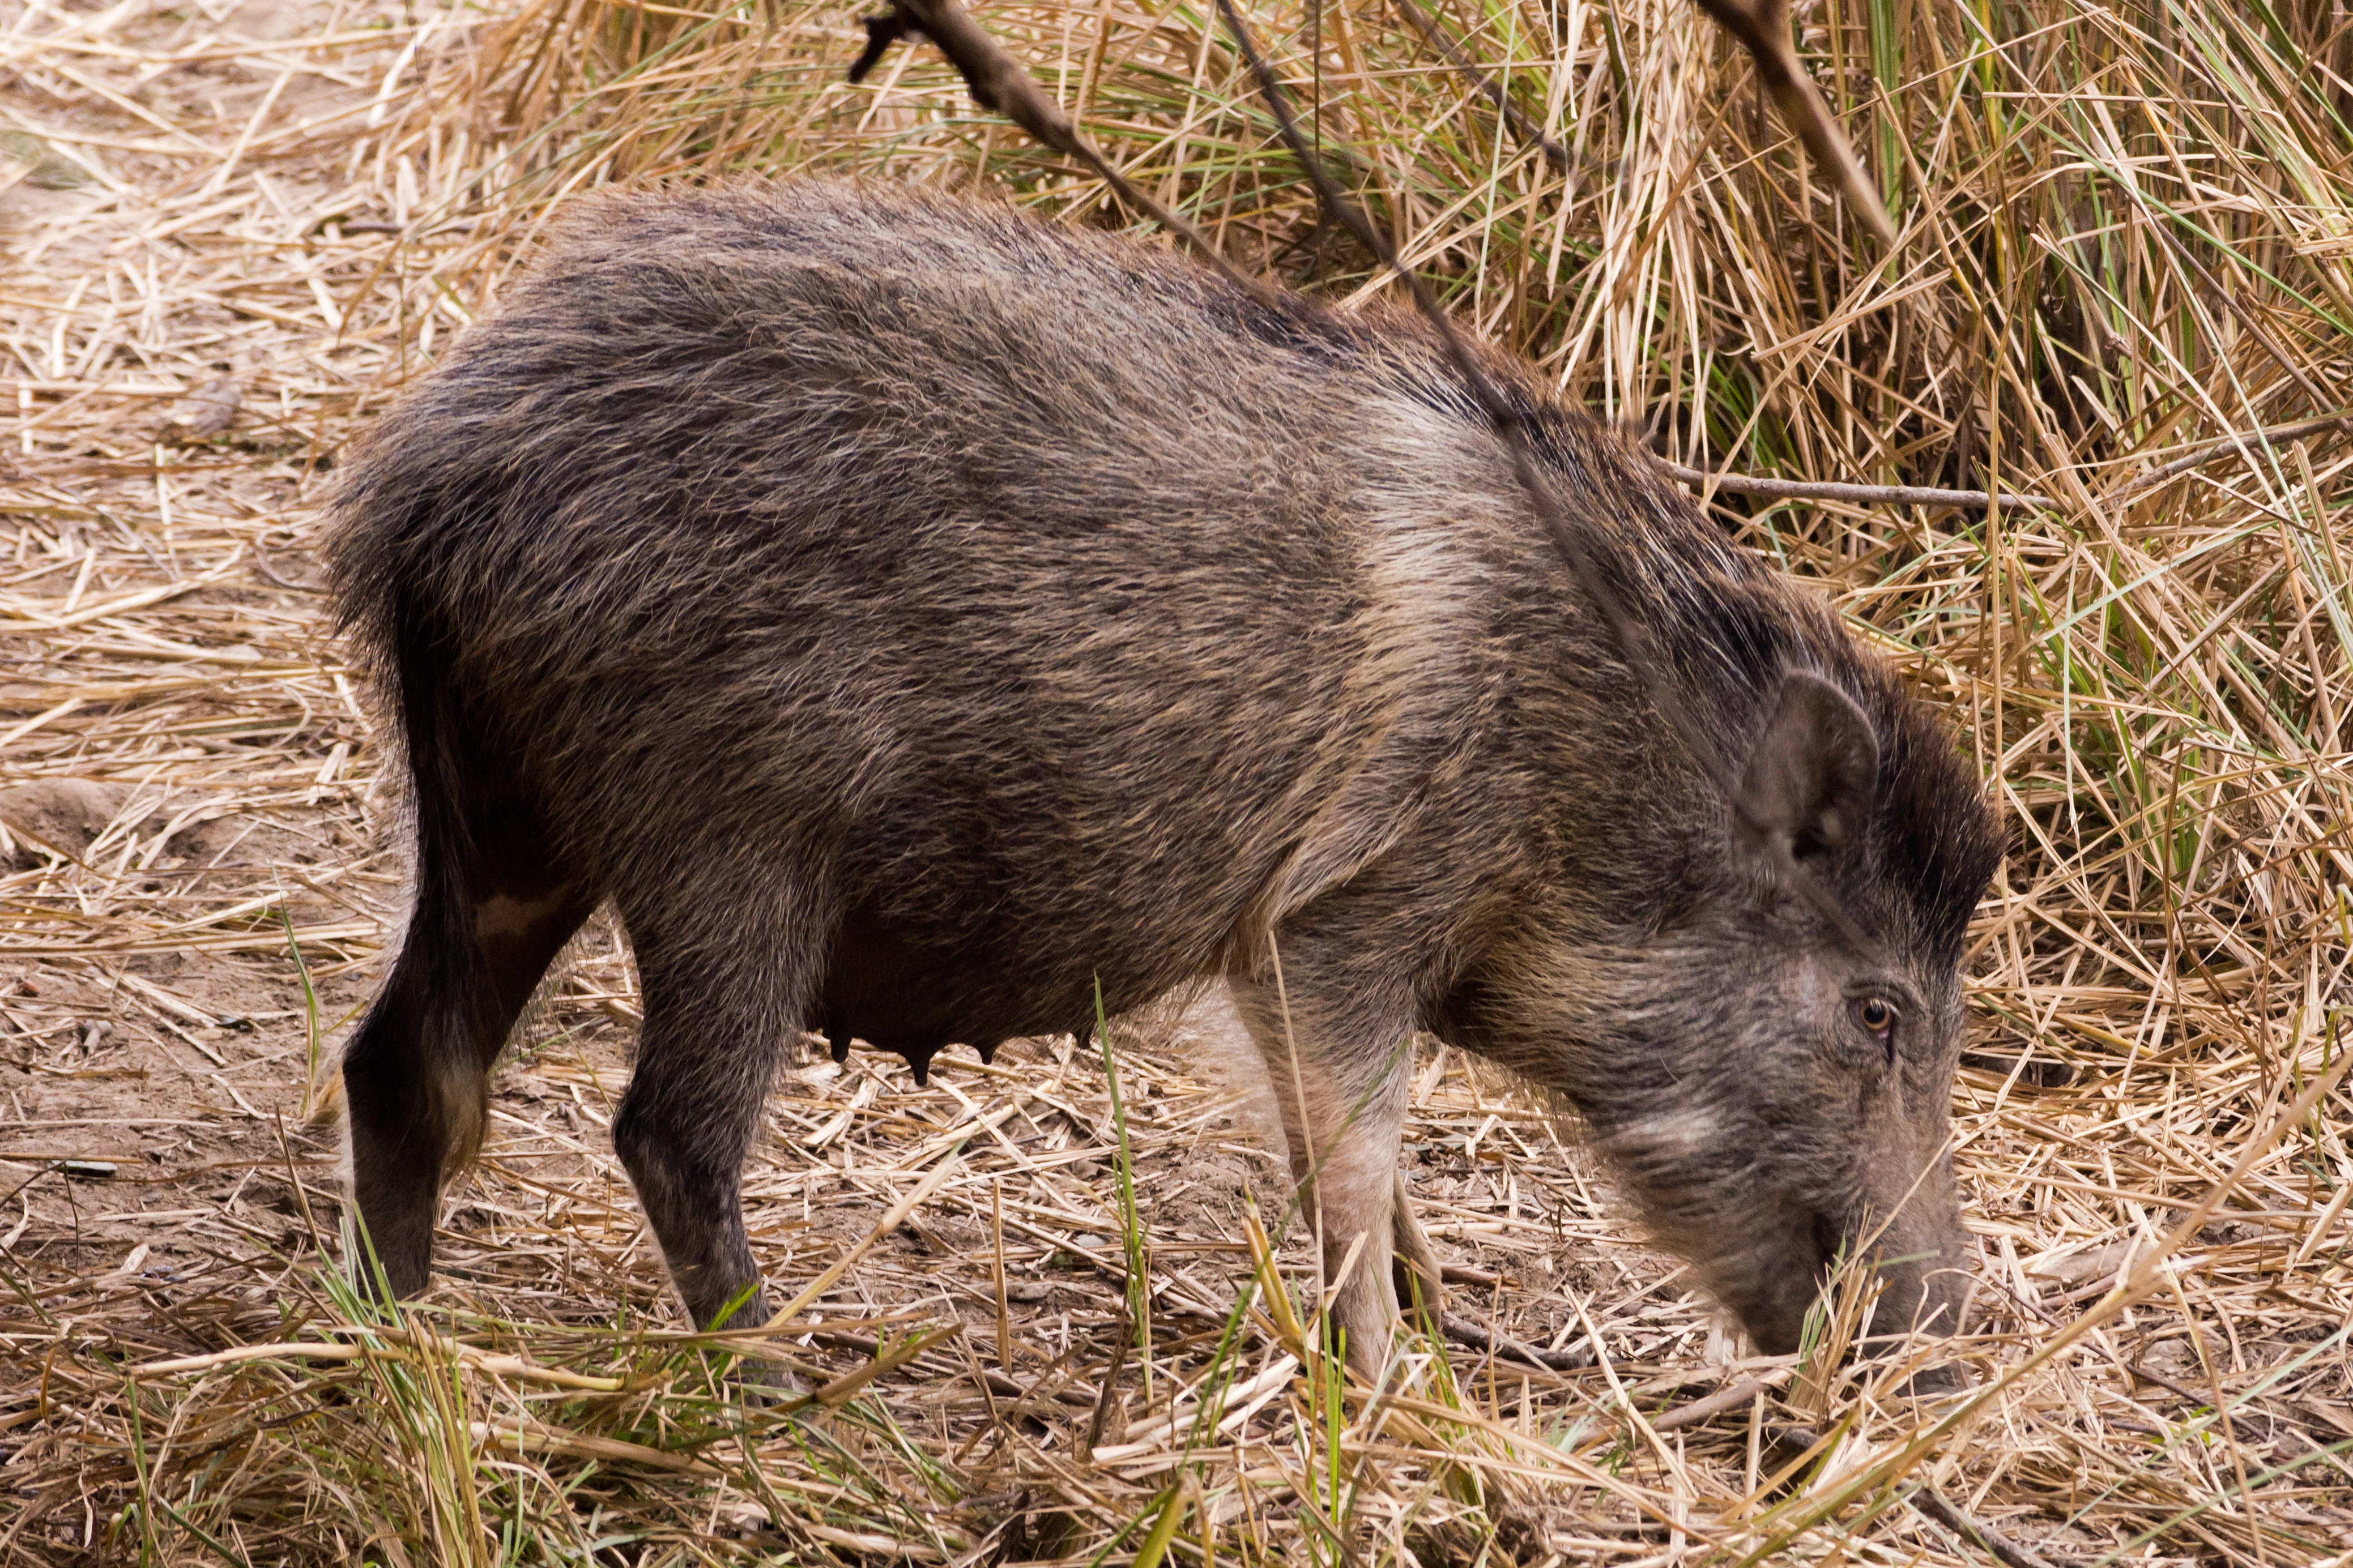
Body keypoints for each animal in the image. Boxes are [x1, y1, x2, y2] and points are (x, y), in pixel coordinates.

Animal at [325, 179, 2002, 1372]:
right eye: (1877, 1010)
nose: (1941, 1340)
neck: (1590, 772)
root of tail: (427, 481)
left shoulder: (1287, 950)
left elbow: (1353, 1167)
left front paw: (1438, 1337)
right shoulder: (1340, 913)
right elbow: (1353, 1158)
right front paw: (1385, 1391)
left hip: (506, 821)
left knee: (403, 1058)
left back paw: (395, 1348)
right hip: (728, 850)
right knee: (663, 1127)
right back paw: (776, 1387)